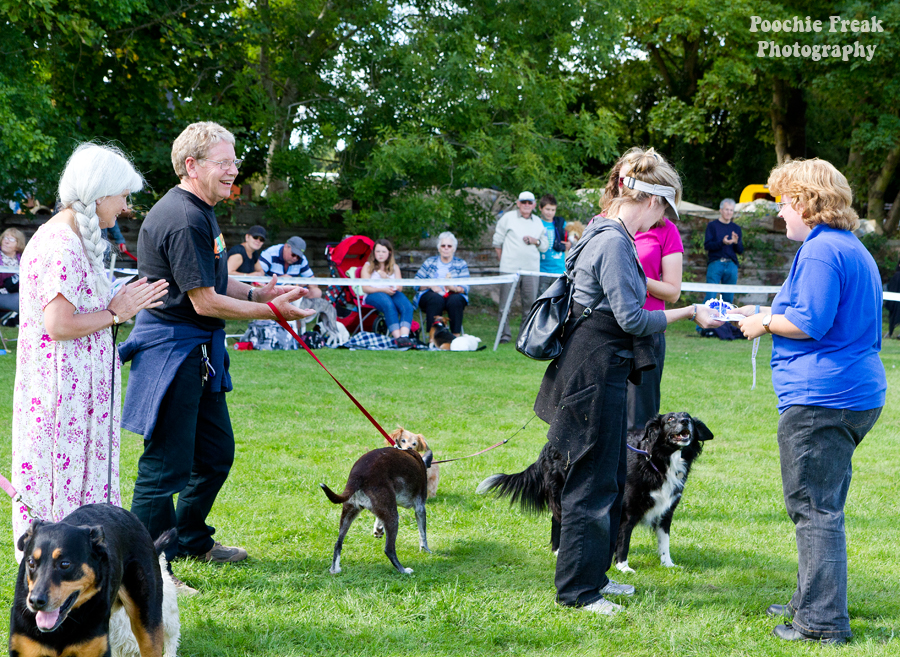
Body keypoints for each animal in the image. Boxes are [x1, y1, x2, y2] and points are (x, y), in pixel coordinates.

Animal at [320, 446, 432, 576]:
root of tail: (358, 475)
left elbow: (378, 519)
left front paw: (378, 529)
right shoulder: (420, 507)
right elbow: (423, 533)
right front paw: (426, 549)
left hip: (349, 512)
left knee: (338, 544)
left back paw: (334, 569)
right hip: (393, 517)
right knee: (389, 549)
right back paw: (403, 570)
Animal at [474, 412, 712, 568]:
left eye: (689, 418)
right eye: (670, 419)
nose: (685, 422)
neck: (656, 459)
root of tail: (549, 445)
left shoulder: (666, 510)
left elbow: (664, 541)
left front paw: (668, 564)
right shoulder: (628, 511)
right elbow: (624, 541)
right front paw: (623, 566)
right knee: (558, 519)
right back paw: (559, 551)